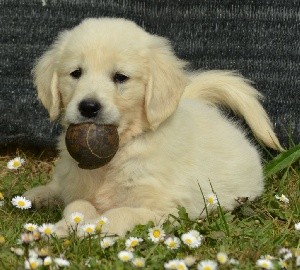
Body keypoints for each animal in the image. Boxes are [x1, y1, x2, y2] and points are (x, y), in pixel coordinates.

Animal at [23, 17, 282, 236]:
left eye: (121, 77)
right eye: (76, 73)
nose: (88, 107)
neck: (121, 151)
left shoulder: (168, 211)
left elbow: (121, 213)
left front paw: (96, 227)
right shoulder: (79, 188)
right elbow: (77, 205)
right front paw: (64, 227)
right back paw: (39, 195)